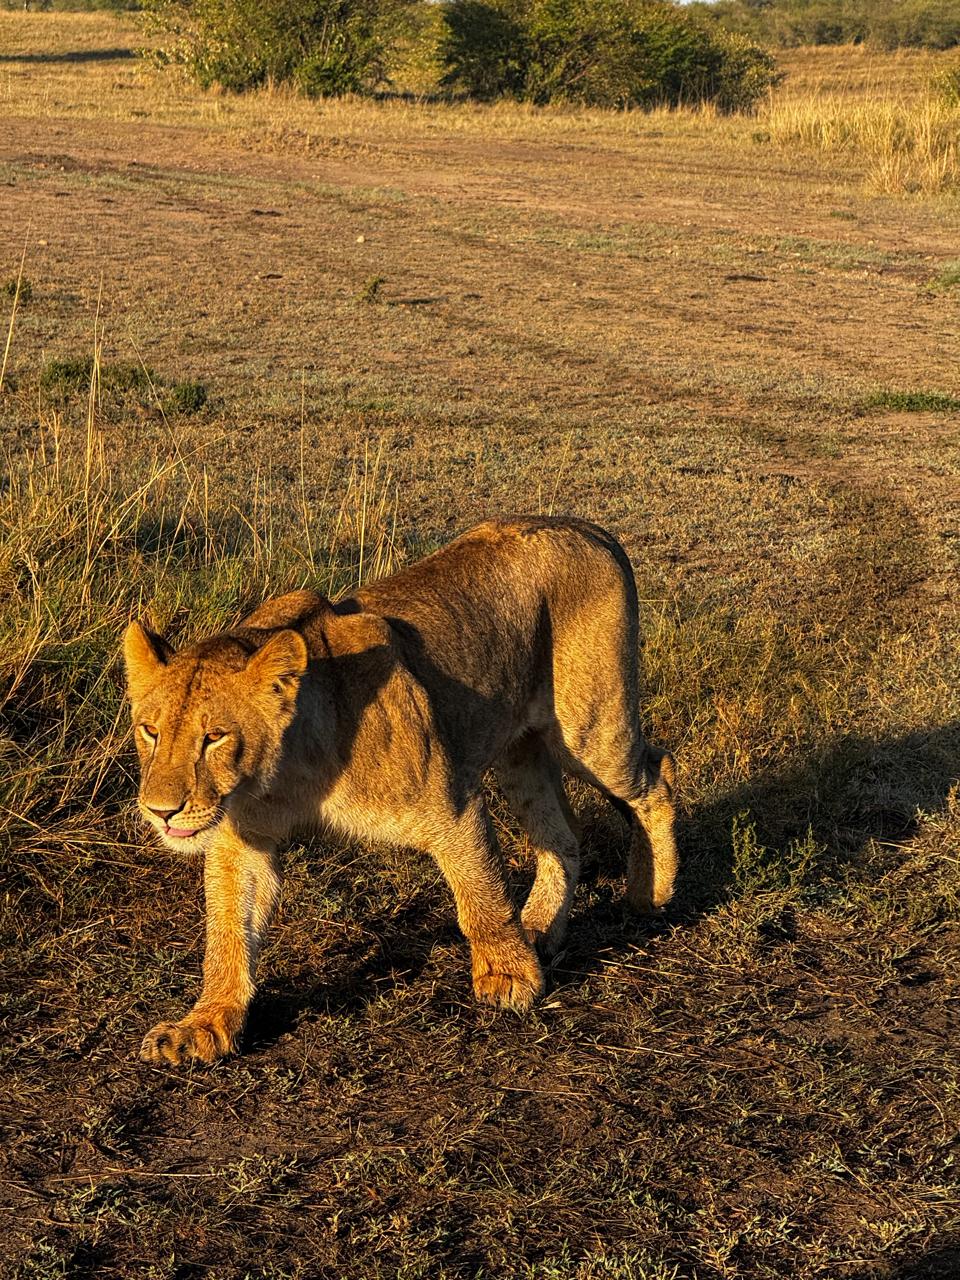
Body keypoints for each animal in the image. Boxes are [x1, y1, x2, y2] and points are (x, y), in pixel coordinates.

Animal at [123, 515, 678, 1065]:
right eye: (150, 731)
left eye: (214, 737)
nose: (161, 811)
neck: (284, 776)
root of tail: (588, 528)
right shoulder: (243, 842)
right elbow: (228, 934)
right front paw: (204, 1025)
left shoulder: (451, 804)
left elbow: (480, 895)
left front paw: (508, 974)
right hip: (522, 753)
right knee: (562, 836)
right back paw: (540, 927)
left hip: (589, 729)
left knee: (658, 776)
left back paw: (650, 891)